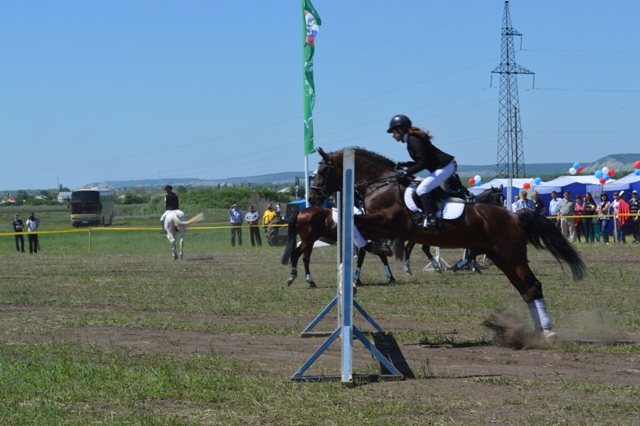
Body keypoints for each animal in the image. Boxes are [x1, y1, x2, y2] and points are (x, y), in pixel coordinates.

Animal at [310, 148, 584, 344]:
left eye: (322, 170)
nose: (312, 197)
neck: (381, 184)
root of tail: (515, 215)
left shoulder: (387, 222)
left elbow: (355, 223)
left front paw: (376, 254)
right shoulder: (382, 227)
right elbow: (358, 229)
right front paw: (370, 257)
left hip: (512, 256)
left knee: (533, 285)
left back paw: (547, 333)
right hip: (501, 258)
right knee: (524, 289)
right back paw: (536, 332)